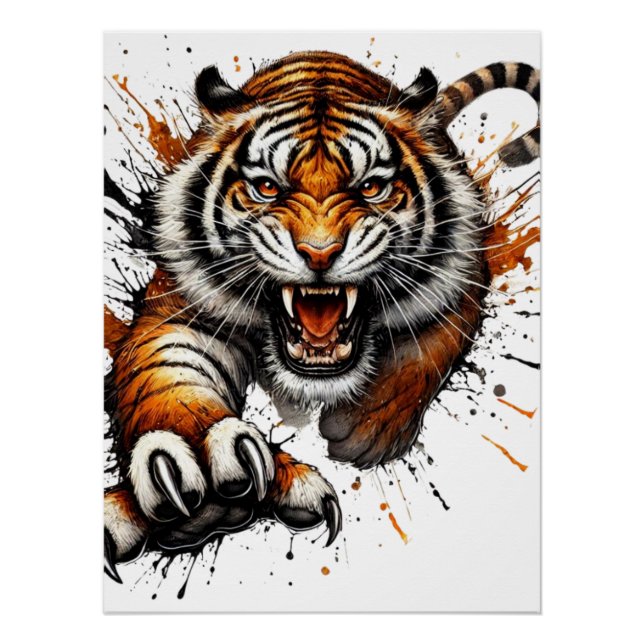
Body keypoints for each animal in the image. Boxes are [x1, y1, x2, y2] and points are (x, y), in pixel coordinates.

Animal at [104, 51, 540, 582]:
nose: (319, 252)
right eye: (266, 188)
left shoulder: (466, 271)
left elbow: (428, 346)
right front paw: (204, 464)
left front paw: (365, 427)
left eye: (371, 188)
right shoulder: (182, 307)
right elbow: (169, 374)